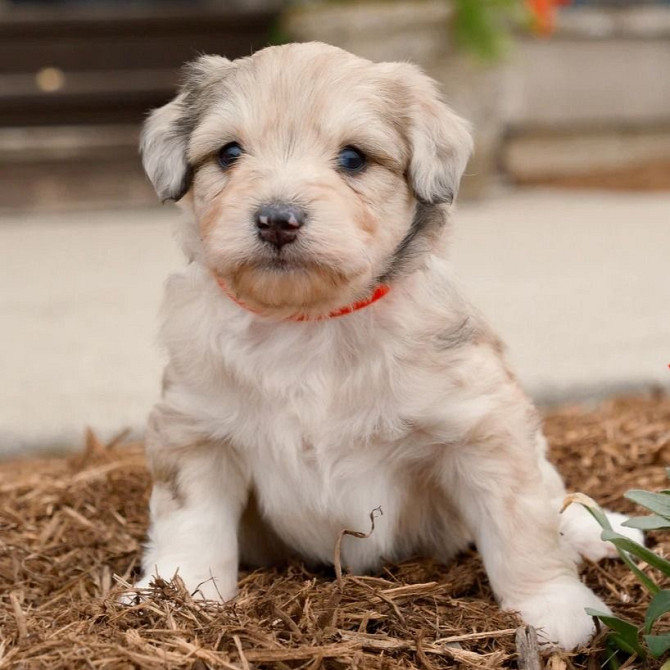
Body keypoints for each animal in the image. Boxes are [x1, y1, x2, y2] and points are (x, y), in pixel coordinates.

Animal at [136, 42, 644, 652]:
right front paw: (176, 595)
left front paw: (554, 608)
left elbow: (521, 524)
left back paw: (603, 531)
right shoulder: (197, 433)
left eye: (353, 159)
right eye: (229, 153)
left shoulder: (483, 427)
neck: (308, 322)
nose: (276, 219)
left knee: (554, 497)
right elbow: (191, 524)